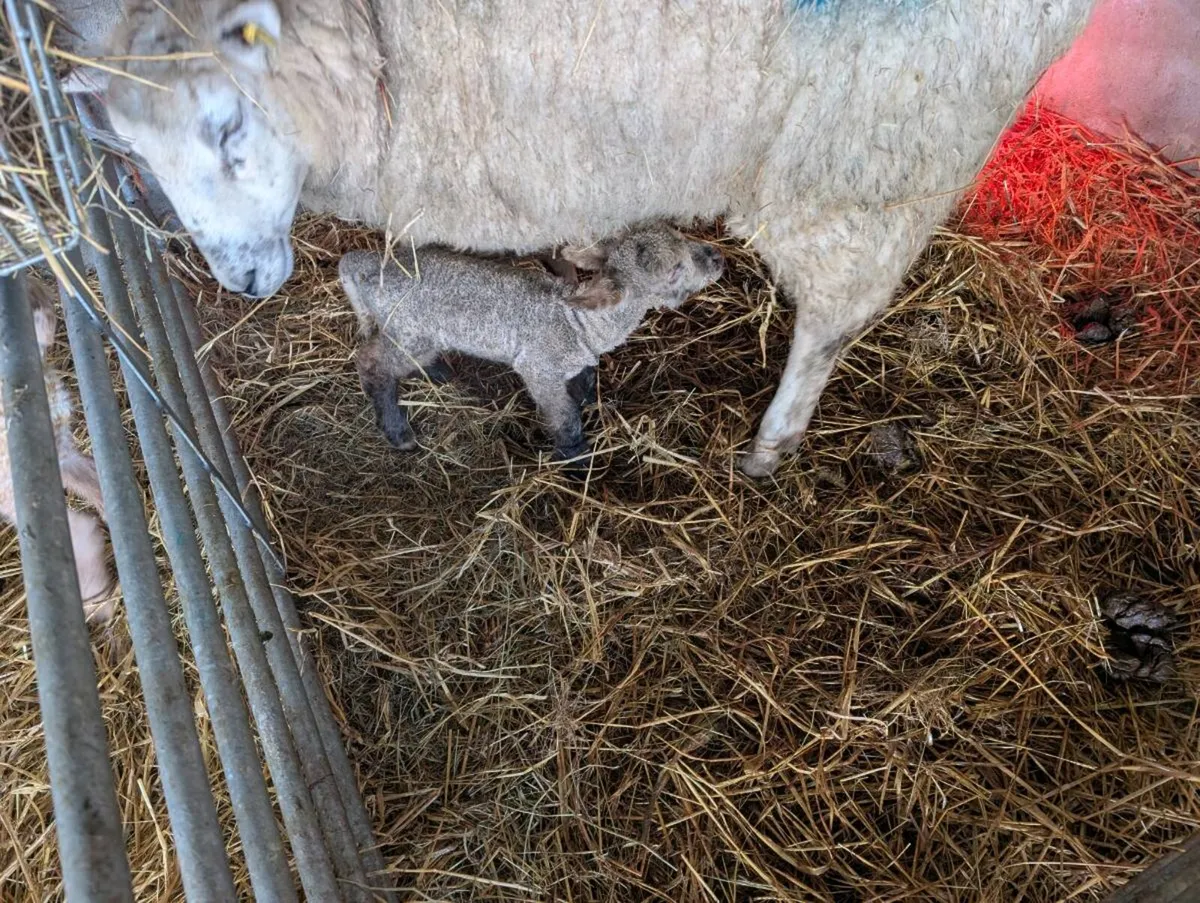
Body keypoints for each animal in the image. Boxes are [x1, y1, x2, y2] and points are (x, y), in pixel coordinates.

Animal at [339, 224, 725, 461]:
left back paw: (438, 372)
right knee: (372, 362)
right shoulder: (539, 368)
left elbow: (584, 380)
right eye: (674, 270)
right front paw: (575, 458)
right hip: (408, 329)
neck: (581, 324)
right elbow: (565, 416)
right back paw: (397, 430)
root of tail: (364, 266)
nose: (718, 258)